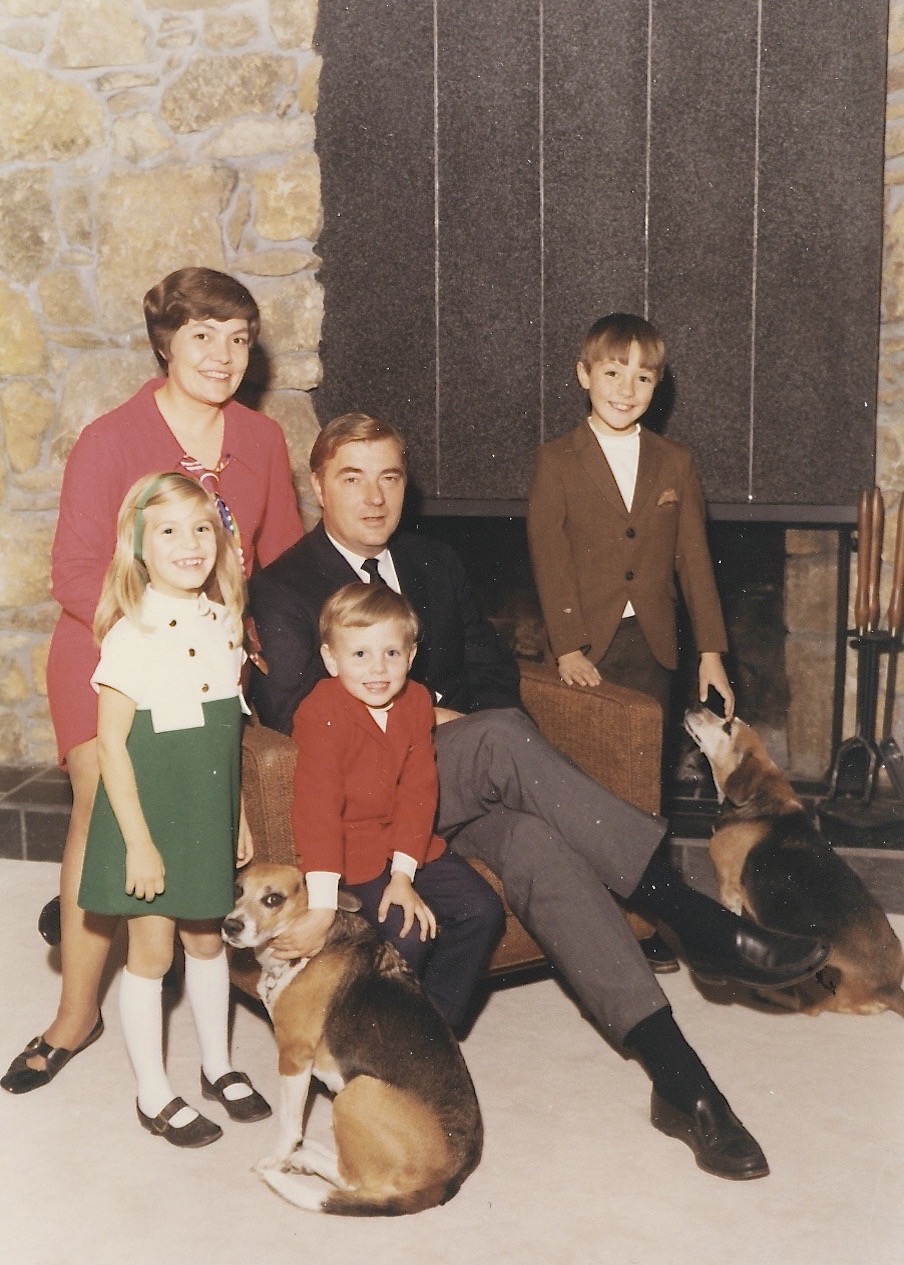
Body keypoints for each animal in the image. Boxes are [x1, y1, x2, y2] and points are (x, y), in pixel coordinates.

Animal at [222, 860, 485, 1214]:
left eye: (273, 899)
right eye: (238, 889)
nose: (230, 926)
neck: (314, 948)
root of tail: (446, 1181)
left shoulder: (294, 1054)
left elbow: (289, 1125)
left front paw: (276, 1159)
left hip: (354, 1094)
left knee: (352, 1179)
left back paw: (306, 1159)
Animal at [687, 713, 904, 1017]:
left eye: (728, 726)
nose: (695, 706)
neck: (758, 801)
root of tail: (888, 987)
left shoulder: (727, 885)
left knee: (804, 1006)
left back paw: (767, 993)